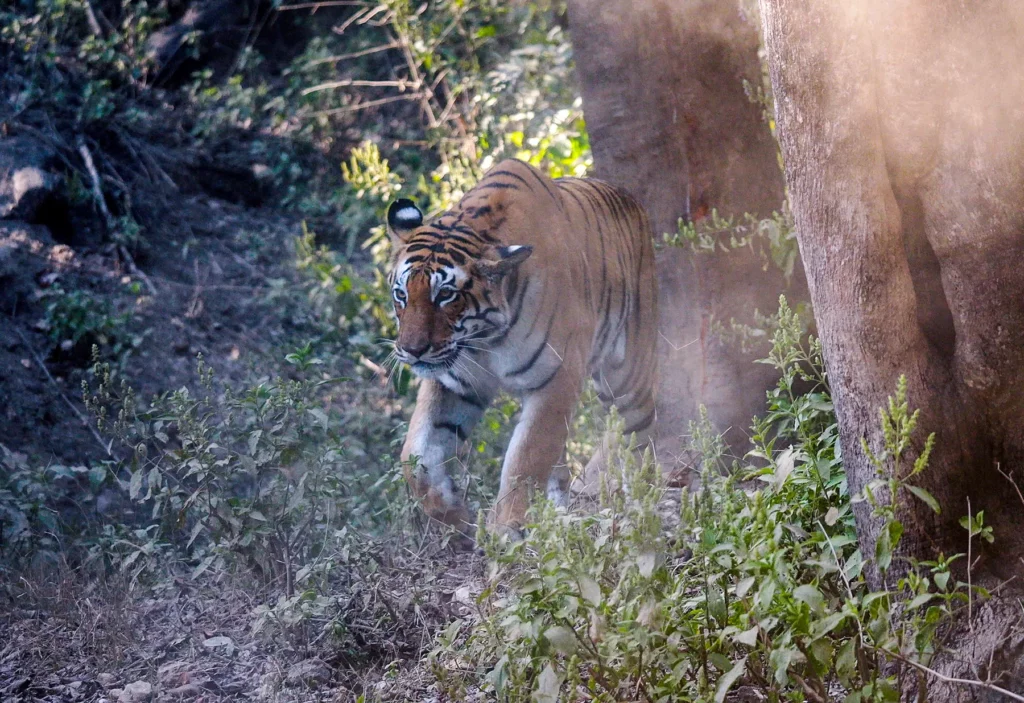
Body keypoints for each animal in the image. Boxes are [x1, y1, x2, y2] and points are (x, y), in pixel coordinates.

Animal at [385, 158, 657, 539]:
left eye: (446, 295)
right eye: (401, 294)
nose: (412, 350)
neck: (483, 337)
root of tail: (633, 202)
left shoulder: (555, 380)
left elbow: (527, 457)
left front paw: (506, 529)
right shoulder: (453, 383)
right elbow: (416, 455)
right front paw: (454, 514)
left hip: (628, 378)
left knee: (636, 433)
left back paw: (632, 496)